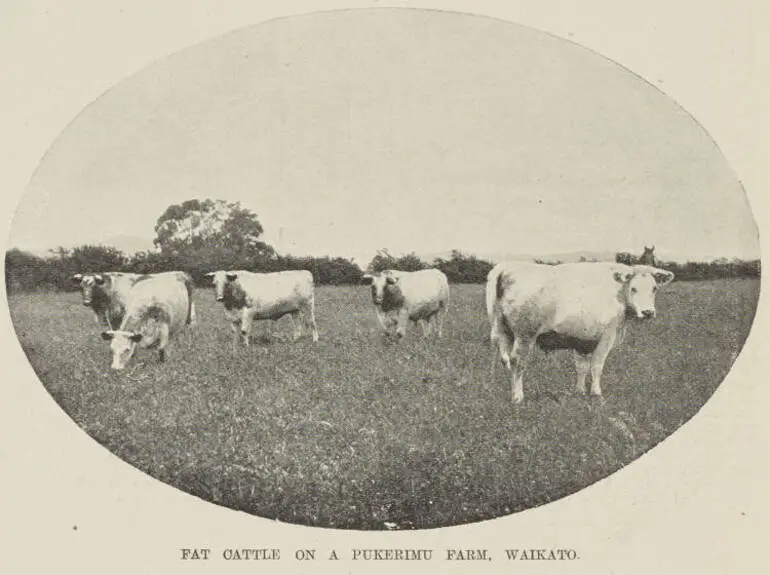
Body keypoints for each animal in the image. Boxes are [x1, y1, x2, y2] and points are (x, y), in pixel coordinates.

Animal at [486, 262, 672, 404]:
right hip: (525, 334)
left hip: (504, 332)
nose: (648, 312)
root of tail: (506, 267)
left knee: (505, 360)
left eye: (654, 288)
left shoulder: (582, 339)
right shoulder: (607, 336)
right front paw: (597, 394)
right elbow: (597, 366)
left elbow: (581, 367)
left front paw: (580, 392)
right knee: (517, 362)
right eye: (633, 288)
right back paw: (518, 397)